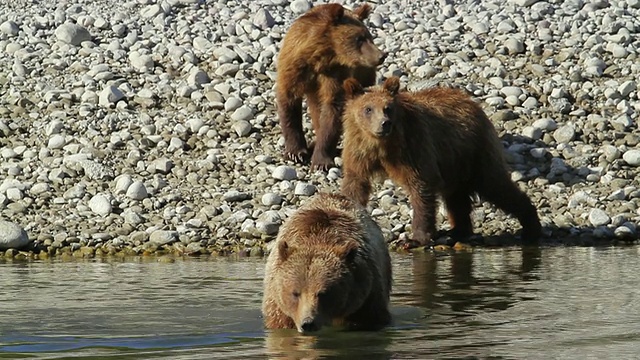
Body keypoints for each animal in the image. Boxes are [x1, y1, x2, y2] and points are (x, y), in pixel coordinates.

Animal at [262, 193, 392, 334]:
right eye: (295, 293)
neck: (318, 240)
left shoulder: (367, 295)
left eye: (322, 293)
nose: (308, 323)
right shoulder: (277, 304)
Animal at [276, 2, 384, 172]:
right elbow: (288, 101)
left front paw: (321, 160)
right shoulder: (294, 67)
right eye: (359, 38)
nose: (381, 55)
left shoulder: (335, 73)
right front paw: (295, 152)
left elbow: (332, 108)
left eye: (369, 36)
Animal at [340, 77, 540, 249]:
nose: (384, 124)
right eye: (368, 109)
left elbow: (421, 187)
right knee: (456, 196)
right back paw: (457, 230)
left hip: (475, 151)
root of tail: (473, 103)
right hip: (455, 162)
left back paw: (531, 227)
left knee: (494, 185)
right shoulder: (358, 153)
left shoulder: (413, 147)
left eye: (387, 108)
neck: (381, 146)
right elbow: (355, 184)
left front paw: (413, 239)